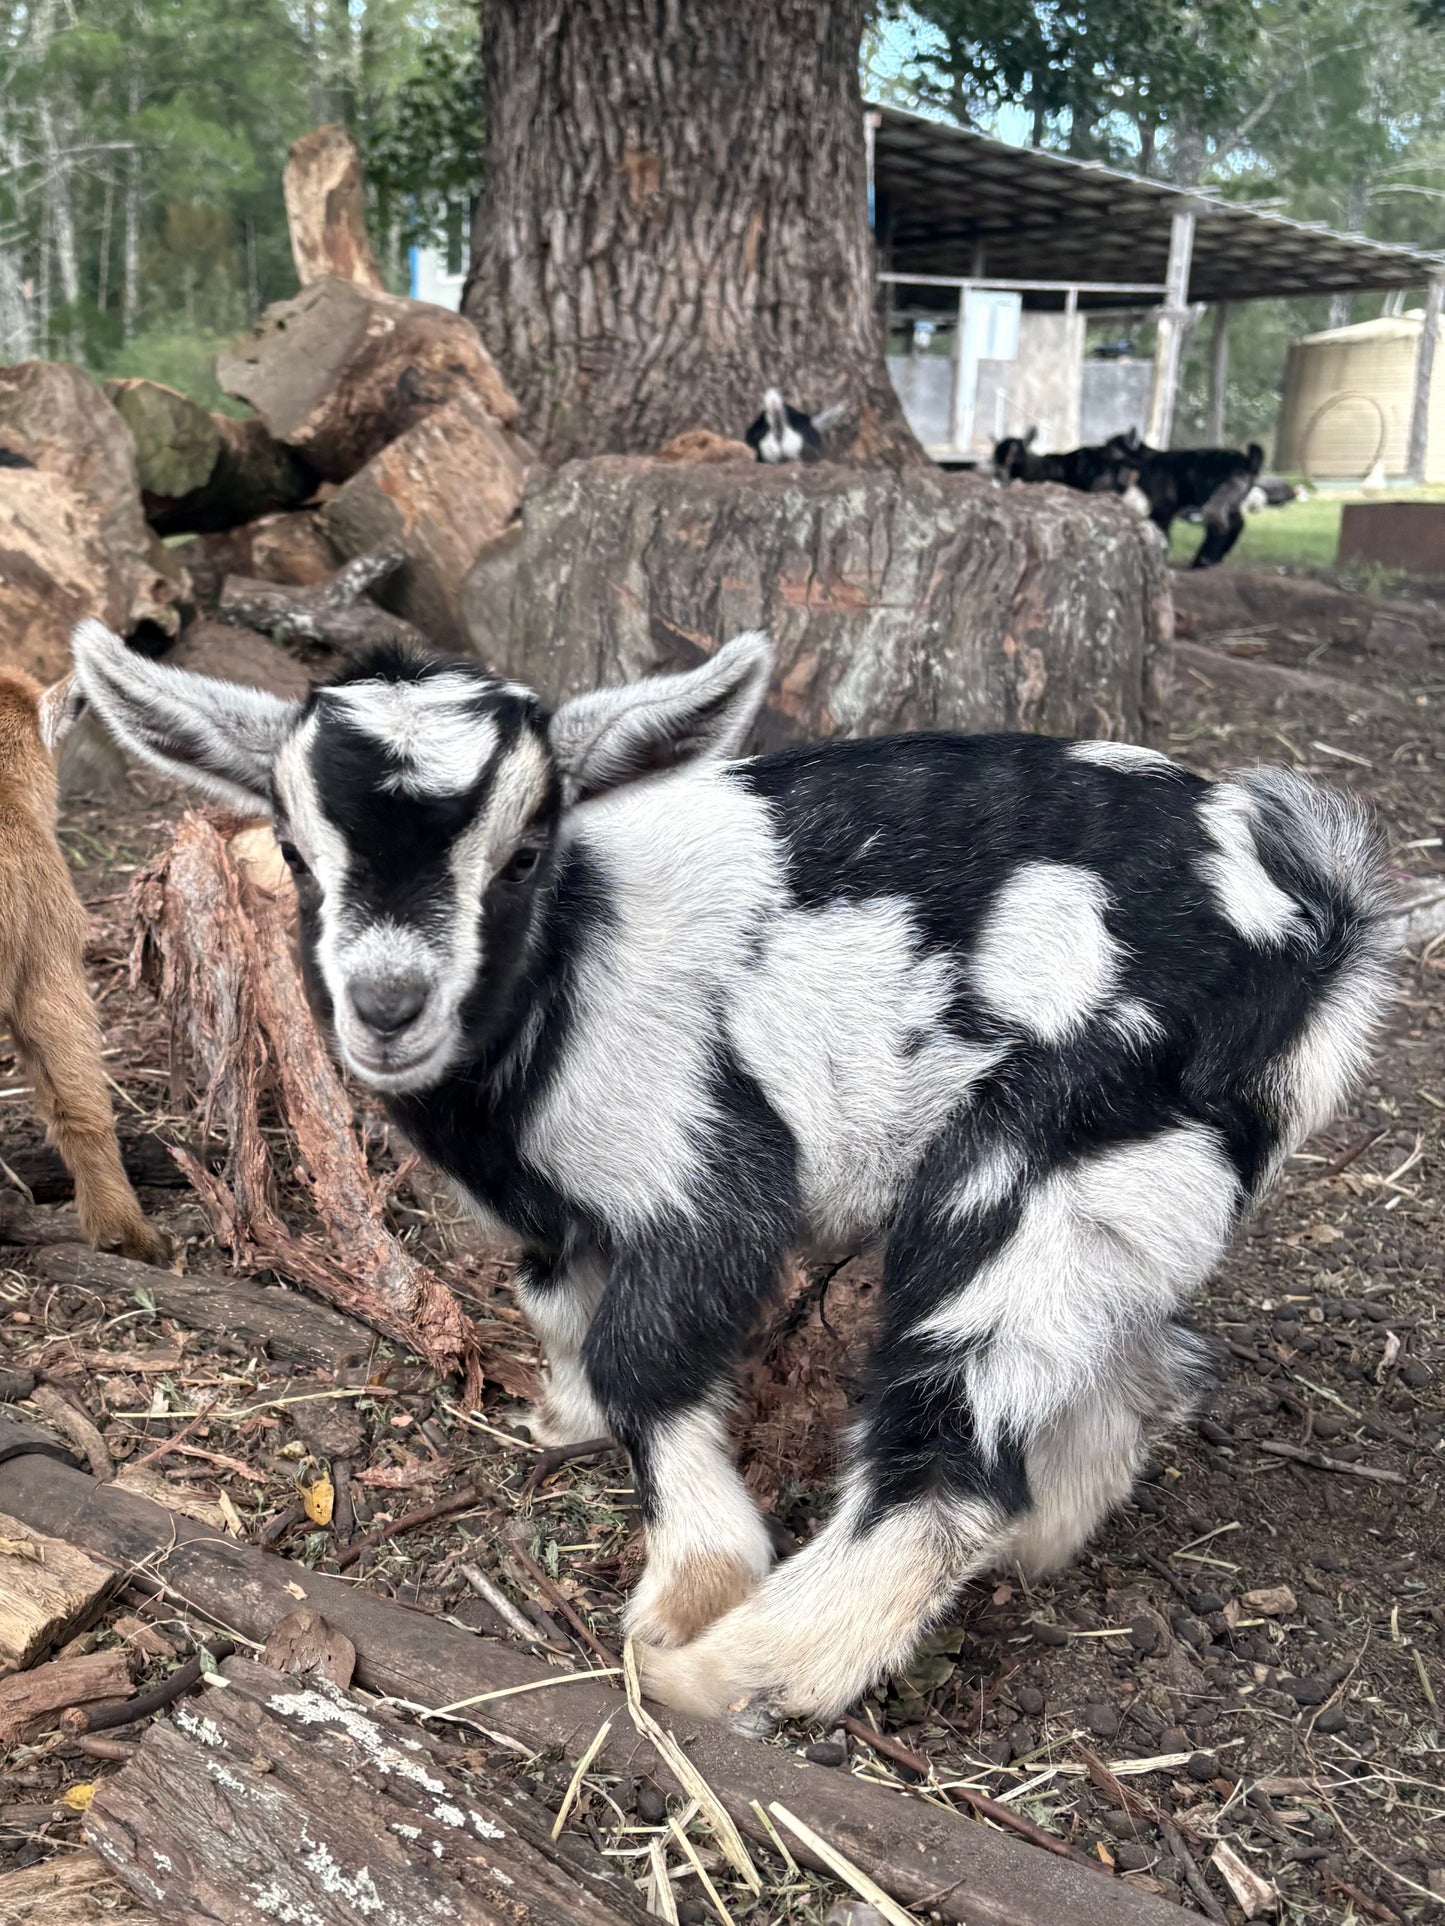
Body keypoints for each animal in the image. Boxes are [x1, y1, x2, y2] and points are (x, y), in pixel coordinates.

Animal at [71, 618, 1396, 1735]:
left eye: (526, 854)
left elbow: (647, 1358)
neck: (571, 968)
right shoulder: (558, 1216)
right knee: (1142, 1370)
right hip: (1127, 1197)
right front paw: (562, 1419)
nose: (389, 1007)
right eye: (296, 854)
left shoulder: (700, 1174)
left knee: (947, 1453)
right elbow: (559, 1309)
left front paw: (690, 1585)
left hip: (1043, 1160)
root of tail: (1314, 927)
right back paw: (1033, 1546)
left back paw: (734, 1673)